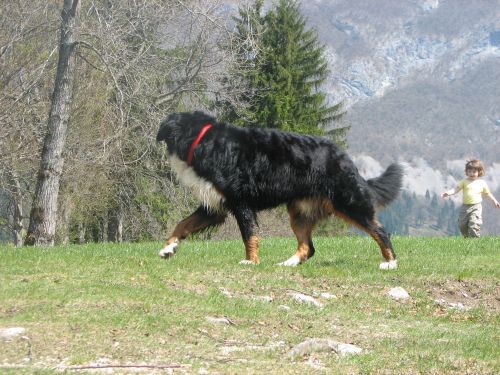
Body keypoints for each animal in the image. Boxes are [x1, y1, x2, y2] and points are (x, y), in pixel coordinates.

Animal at [156, 111, 402, 270]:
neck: (203, 141)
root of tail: (343, 156)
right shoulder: (214, 206)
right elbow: (183, 224)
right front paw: (169, 248)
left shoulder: (240, 202)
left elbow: (249, 235)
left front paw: (250, 261)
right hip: (299, 212)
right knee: (308, 247)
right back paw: (288, 263)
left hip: (348, 202)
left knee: (381, 231)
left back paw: (390, 263)